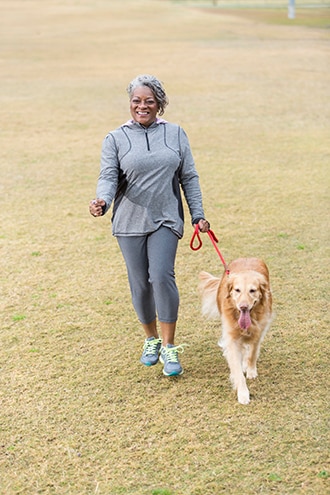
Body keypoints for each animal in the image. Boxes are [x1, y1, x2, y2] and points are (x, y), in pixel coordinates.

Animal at [200, 258, 272, 404]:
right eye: (237, 290)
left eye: (252, 290)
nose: (243, 306)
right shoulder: (232, 338)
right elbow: (237, 370)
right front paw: (243, 393)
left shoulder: (259, 331)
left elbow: (253, 353)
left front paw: (251, 370)